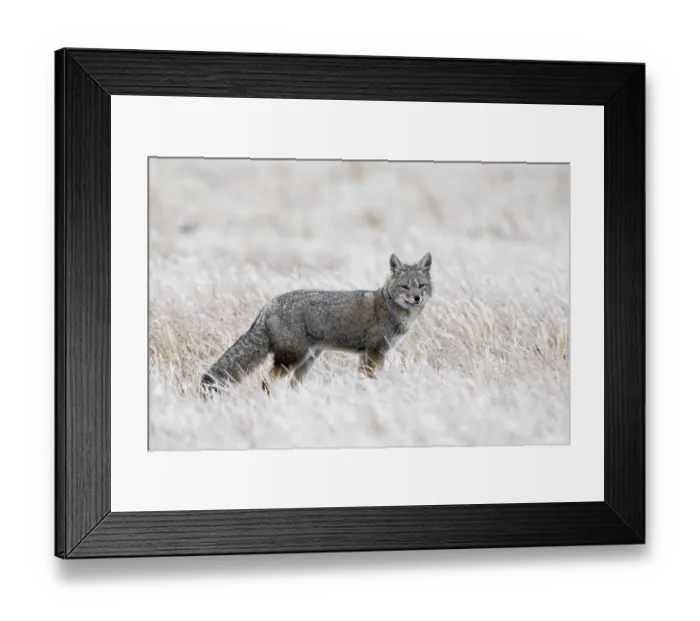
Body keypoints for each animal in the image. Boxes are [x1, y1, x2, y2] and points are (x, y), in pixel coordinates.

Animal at [199, 252, 432, 396]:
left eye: (421, 286)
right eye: (405, 287)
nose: (416, 298)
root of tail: (267, 307)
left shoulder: (371, 354)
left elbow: (363, 380)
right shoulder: (374, 352)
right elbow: (369, 379)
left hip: (307, 361)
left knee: (291, 385)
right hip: (293, 359)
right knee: (266, 381)